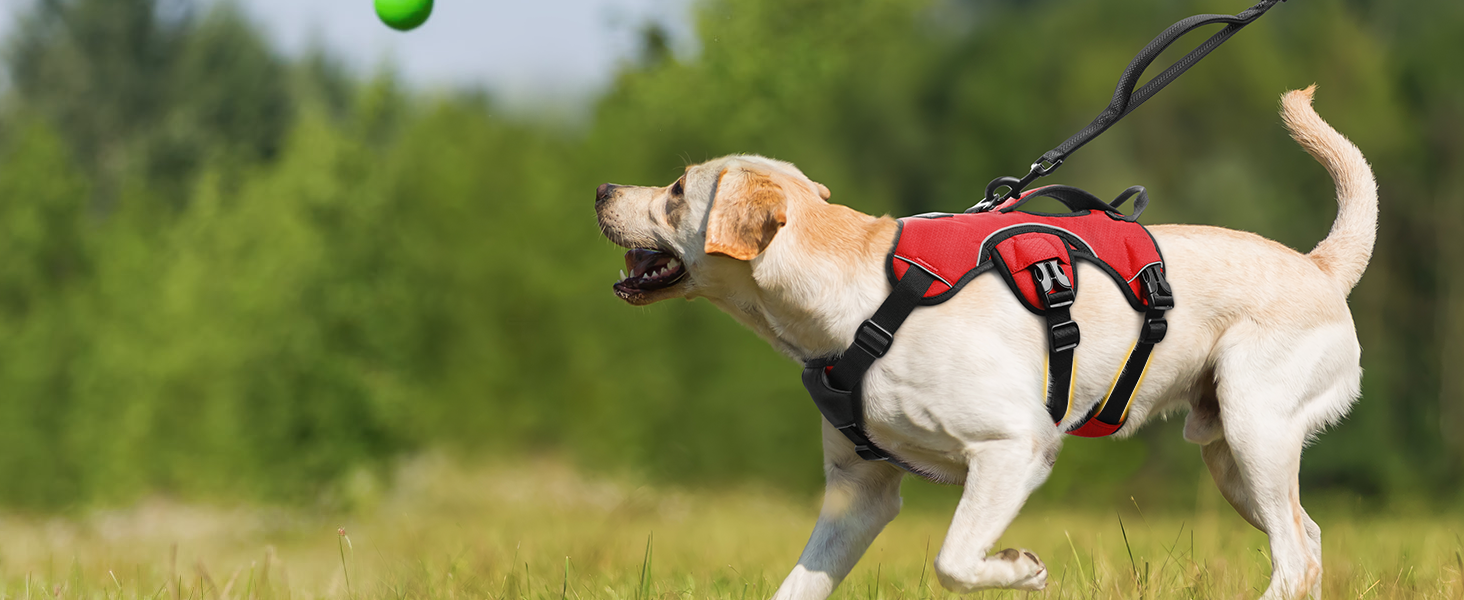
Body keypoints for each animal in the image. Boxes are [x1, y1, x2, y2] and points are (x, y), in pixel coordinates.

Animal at [591, 87, 1370, 600]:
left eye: (676, 189)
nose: (600, 188)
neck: (862, 302)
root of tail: (1320, 266)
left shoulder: (1012, 448)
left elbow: (955, 558)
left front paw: (1020, 569)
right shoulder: (859, 494)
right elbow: (799, 585)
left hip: (1254, 424)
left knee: (1294, 558)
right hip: (1232, 456)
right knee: (1308, 539)